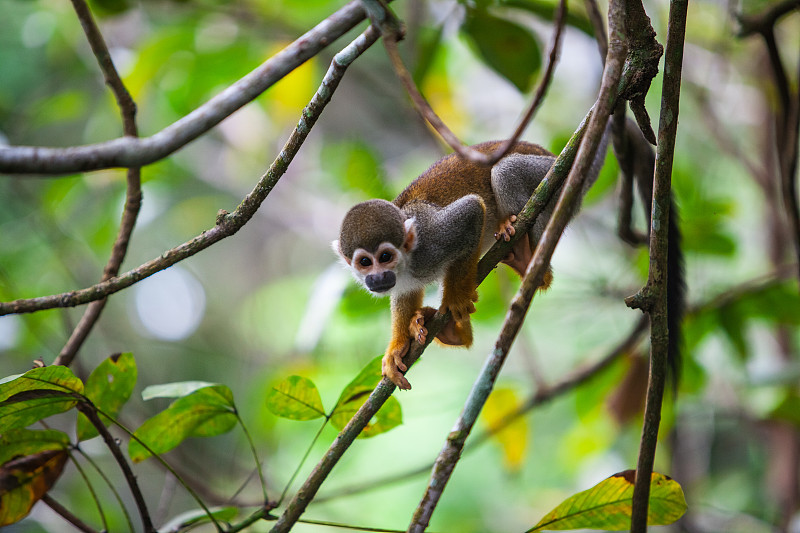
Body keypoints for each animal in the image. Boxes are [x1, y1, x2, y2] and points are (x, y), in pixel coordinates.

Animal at [332, 136, 608, 386]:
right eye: (365, 262)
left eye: (385, 257)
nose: (377, 278)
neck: (407, 262)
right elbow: (405, 293)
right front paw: (397, 348)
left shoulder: (432, 242)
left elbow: (472, 212)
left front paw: (456, 298)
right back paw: (453, 333)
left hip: (557, 181)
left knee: (505, 171)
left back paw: (531, 263)